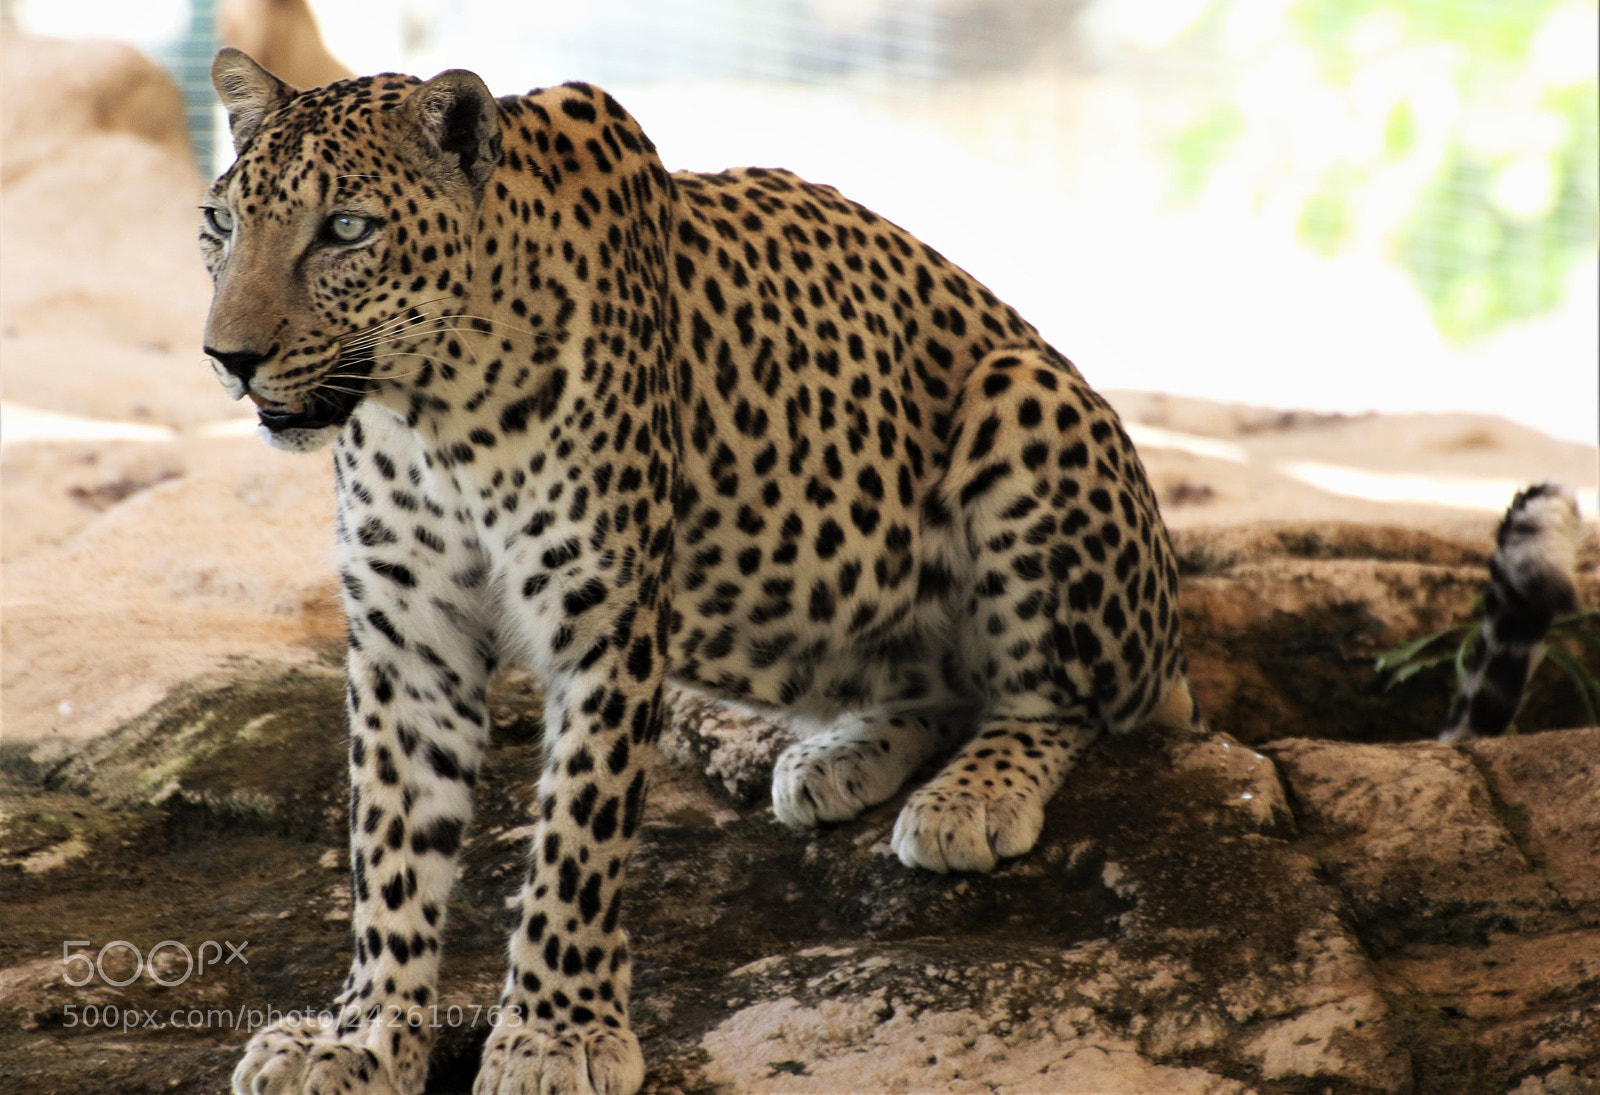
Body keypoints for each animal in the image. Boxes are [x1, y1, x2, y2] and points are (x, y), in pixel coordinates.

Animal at [200, 46, 1205, 1095]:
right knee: (935, 684)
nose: (228, 356)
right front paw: (361, 1038)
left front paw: (556, 1033)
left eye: (346, 230)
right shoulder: (408, 640)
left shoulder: (603, 623)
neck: (429, 414)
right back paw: (836, 760)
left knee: (1061, 698)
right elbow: (391, 849)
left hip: (1026, 398)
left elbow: (579, 838)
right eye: (220, 223)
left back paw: (969, 797)